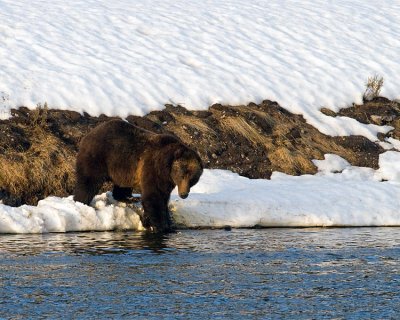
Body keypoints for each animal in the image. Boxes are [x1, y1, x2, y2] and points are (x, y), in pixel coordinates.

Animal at [73, 119, 203, 231]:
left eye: (193, 179)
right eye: (182, 175)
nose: (184, 194)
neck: (167, 167)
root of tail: (89, 133)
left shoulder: (167, 180)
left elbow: (164, 197)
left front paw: (165, 222)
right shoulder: (154, 167)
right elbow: (154, 196)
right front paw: (161, 226)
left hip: (123, 167)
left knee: (122, 185)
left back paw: (129, 197)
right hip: (99, 156)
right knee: (88, 182)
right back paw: (81, 202)